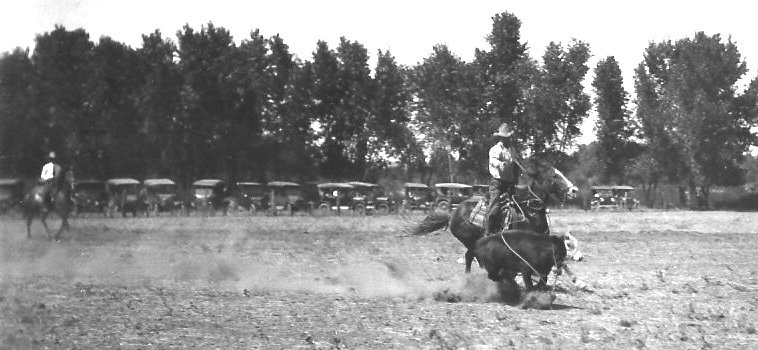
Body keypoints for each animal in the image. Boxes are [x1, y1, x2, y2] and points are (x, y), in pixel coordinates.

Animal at [416, 161, 580, 274]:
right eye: (554, 175)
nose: (574, 190)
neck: (529, 212)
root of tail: (453, 213)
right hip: (470, 241)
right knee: (469, 257)